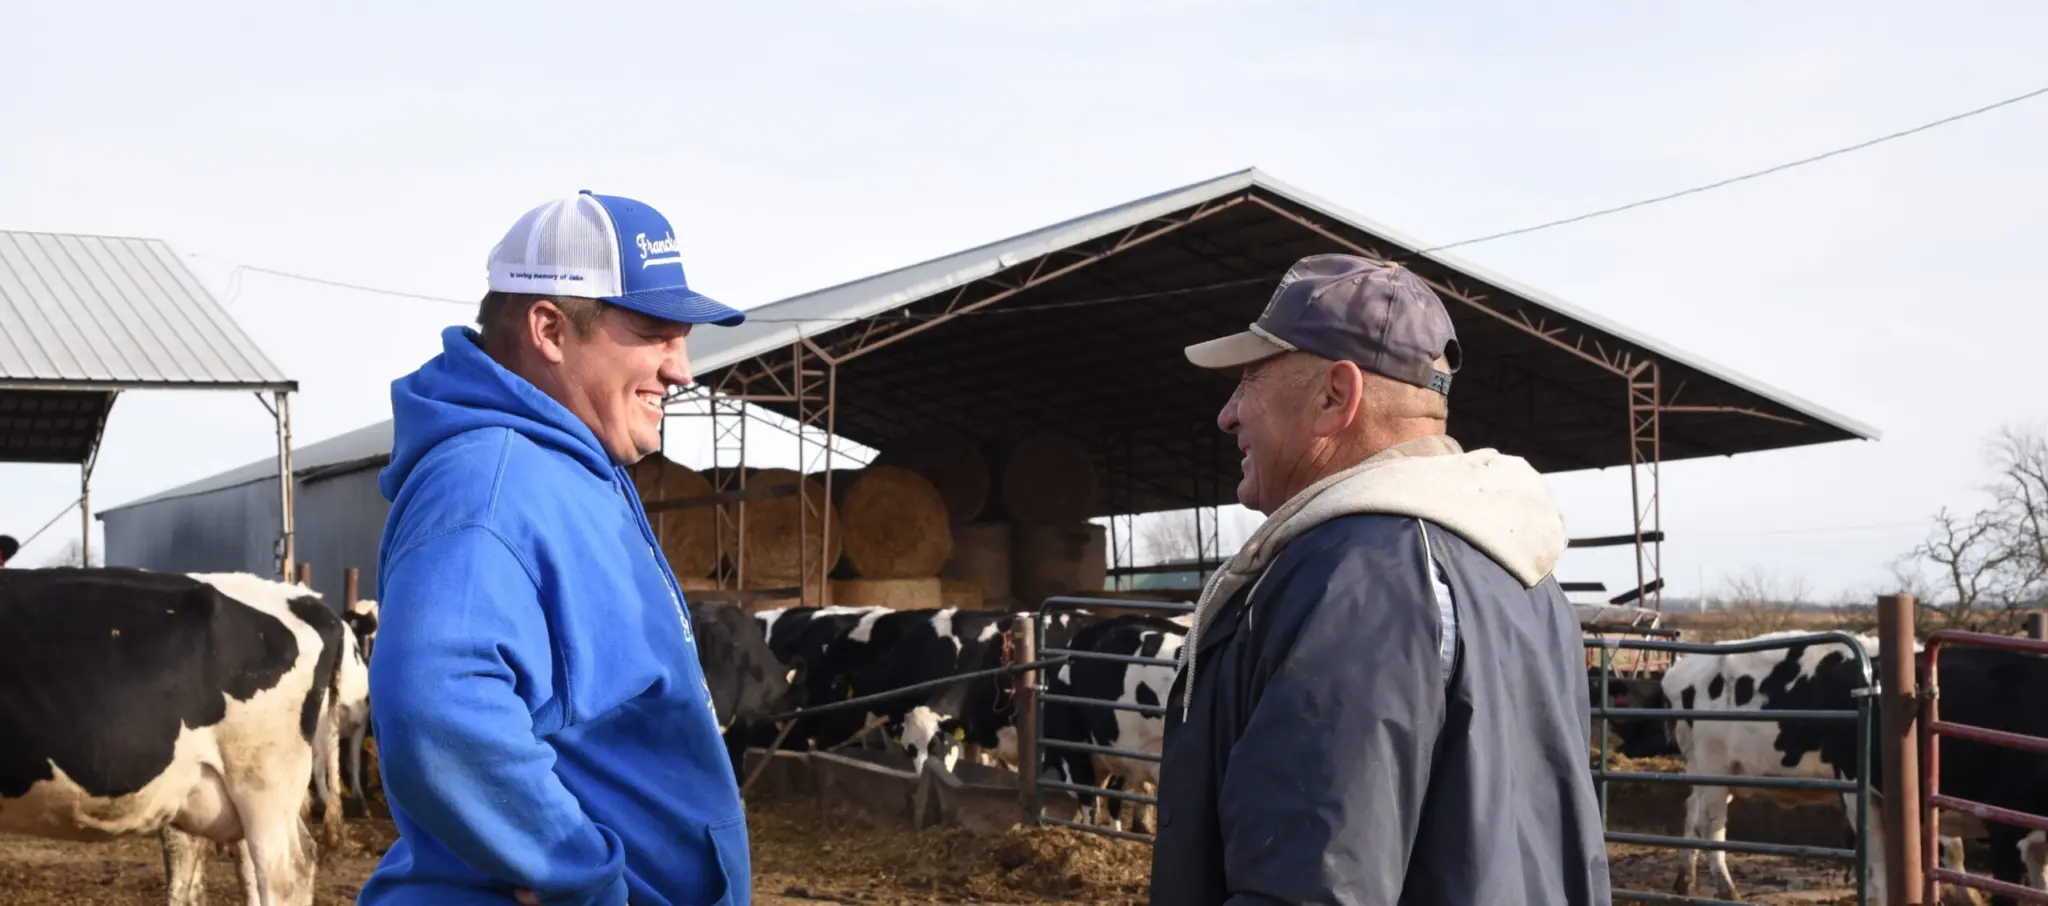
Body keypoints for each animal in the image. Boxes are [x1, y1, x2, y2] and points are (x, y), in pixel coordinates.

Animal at [1638, 631, 2048, 906]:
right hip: (1714, 765)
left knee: (1692, 813)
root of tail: (1680, 669)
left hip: (1718, 770)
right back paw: (1726, 889)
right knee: (1711, 825)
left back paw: (1684, 881)